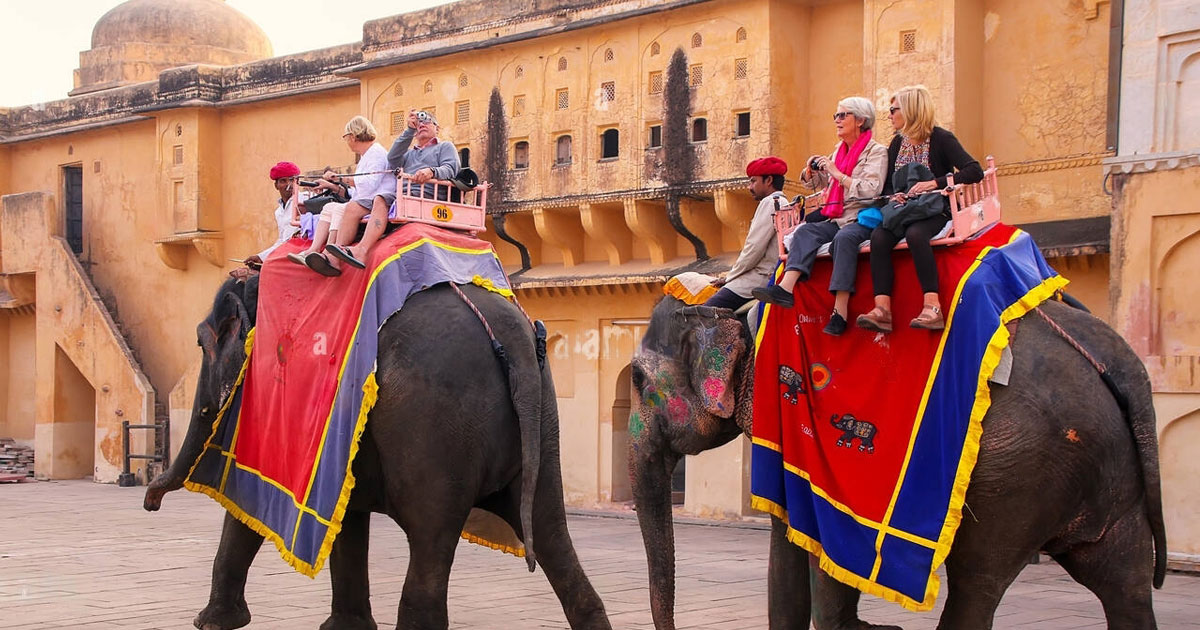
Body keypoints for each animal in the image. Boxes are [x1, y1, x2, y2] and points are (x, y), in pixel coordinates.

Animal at [141, 276, 609, 628]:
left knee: (430, 549)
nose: (149, 504)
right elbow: (345, 516)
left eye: (201, 343)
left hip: (432, 430)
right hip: (543, 422)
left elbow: (246, 499)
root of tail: (512, 340)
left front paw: (210, 624)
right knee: (552, 534)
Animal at [633, 296, 1166, 628]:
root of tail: (1121, 366)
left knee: (979, 582)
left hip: (1020, 474)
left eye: (636, 380)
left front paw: (859, 626)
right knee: (1126, 585)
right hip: (1108, 471)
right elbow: (788, 542)